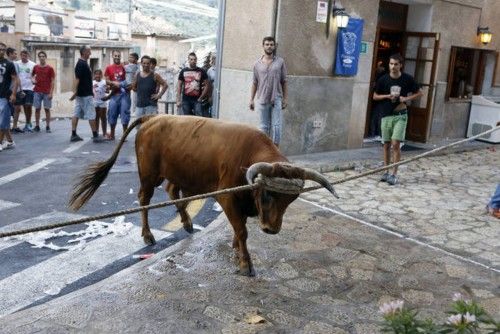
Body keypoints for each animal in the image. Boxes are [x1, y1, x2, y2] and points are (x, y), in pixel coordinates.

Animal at [69, 115, 336, 276]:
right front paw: (245, 262)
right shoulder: (227, 198)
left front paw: (236, 249)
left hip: (178, 172)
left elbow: (239, 229)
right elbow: (242, 230)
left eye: (290, 199)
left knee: (173, 192)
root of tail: (154, 117)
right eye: (268, 194)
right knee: (144, 199)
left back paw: (187, 223)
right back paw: (148, 235)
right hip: (149, 174)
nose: (271, 229)